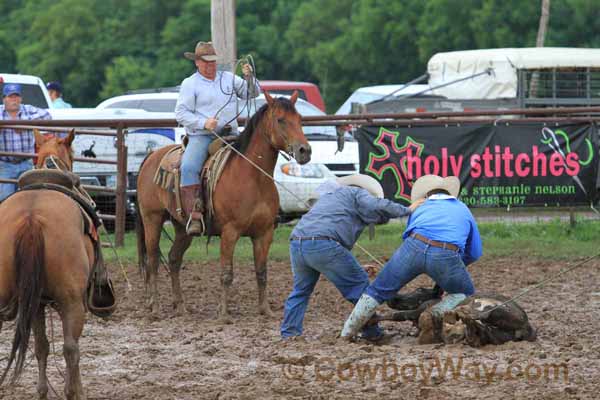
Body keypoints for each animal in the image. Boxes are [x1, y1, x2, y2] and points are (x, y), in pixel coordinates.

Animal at [0, 130, 94, 398]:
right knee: (71, 348)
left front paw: (42, 390)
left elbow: (41, 345)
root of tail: (31, 217)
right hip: (71, 300)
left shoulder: (38, 302)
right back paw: (73, 392)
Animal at [137, 90, 312, 318]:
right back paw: (156, 307)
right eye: (280, 120)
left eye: (299, 119)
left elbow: (262, 272)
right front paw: (224, 313)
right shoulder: (230, 231)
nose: (304, 151)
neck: (253, 177)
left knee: (174, 259)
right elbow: (226, 273)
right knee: (153, 261)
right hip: (152, 219)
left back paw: (181, 306)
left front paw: (265, 310)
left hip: (182, 227)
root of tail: (151, 156)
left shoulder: (264, 233)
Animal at [376, 288, 540, 346]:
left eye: (418, 290)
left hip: (489, 306)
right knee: (479, 332)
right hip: (495, 334)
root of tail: (527, 327)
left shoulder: (418, 310)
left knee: (481, 315)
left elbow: (398, 315)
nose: (393, 297)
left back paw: (461, 313)